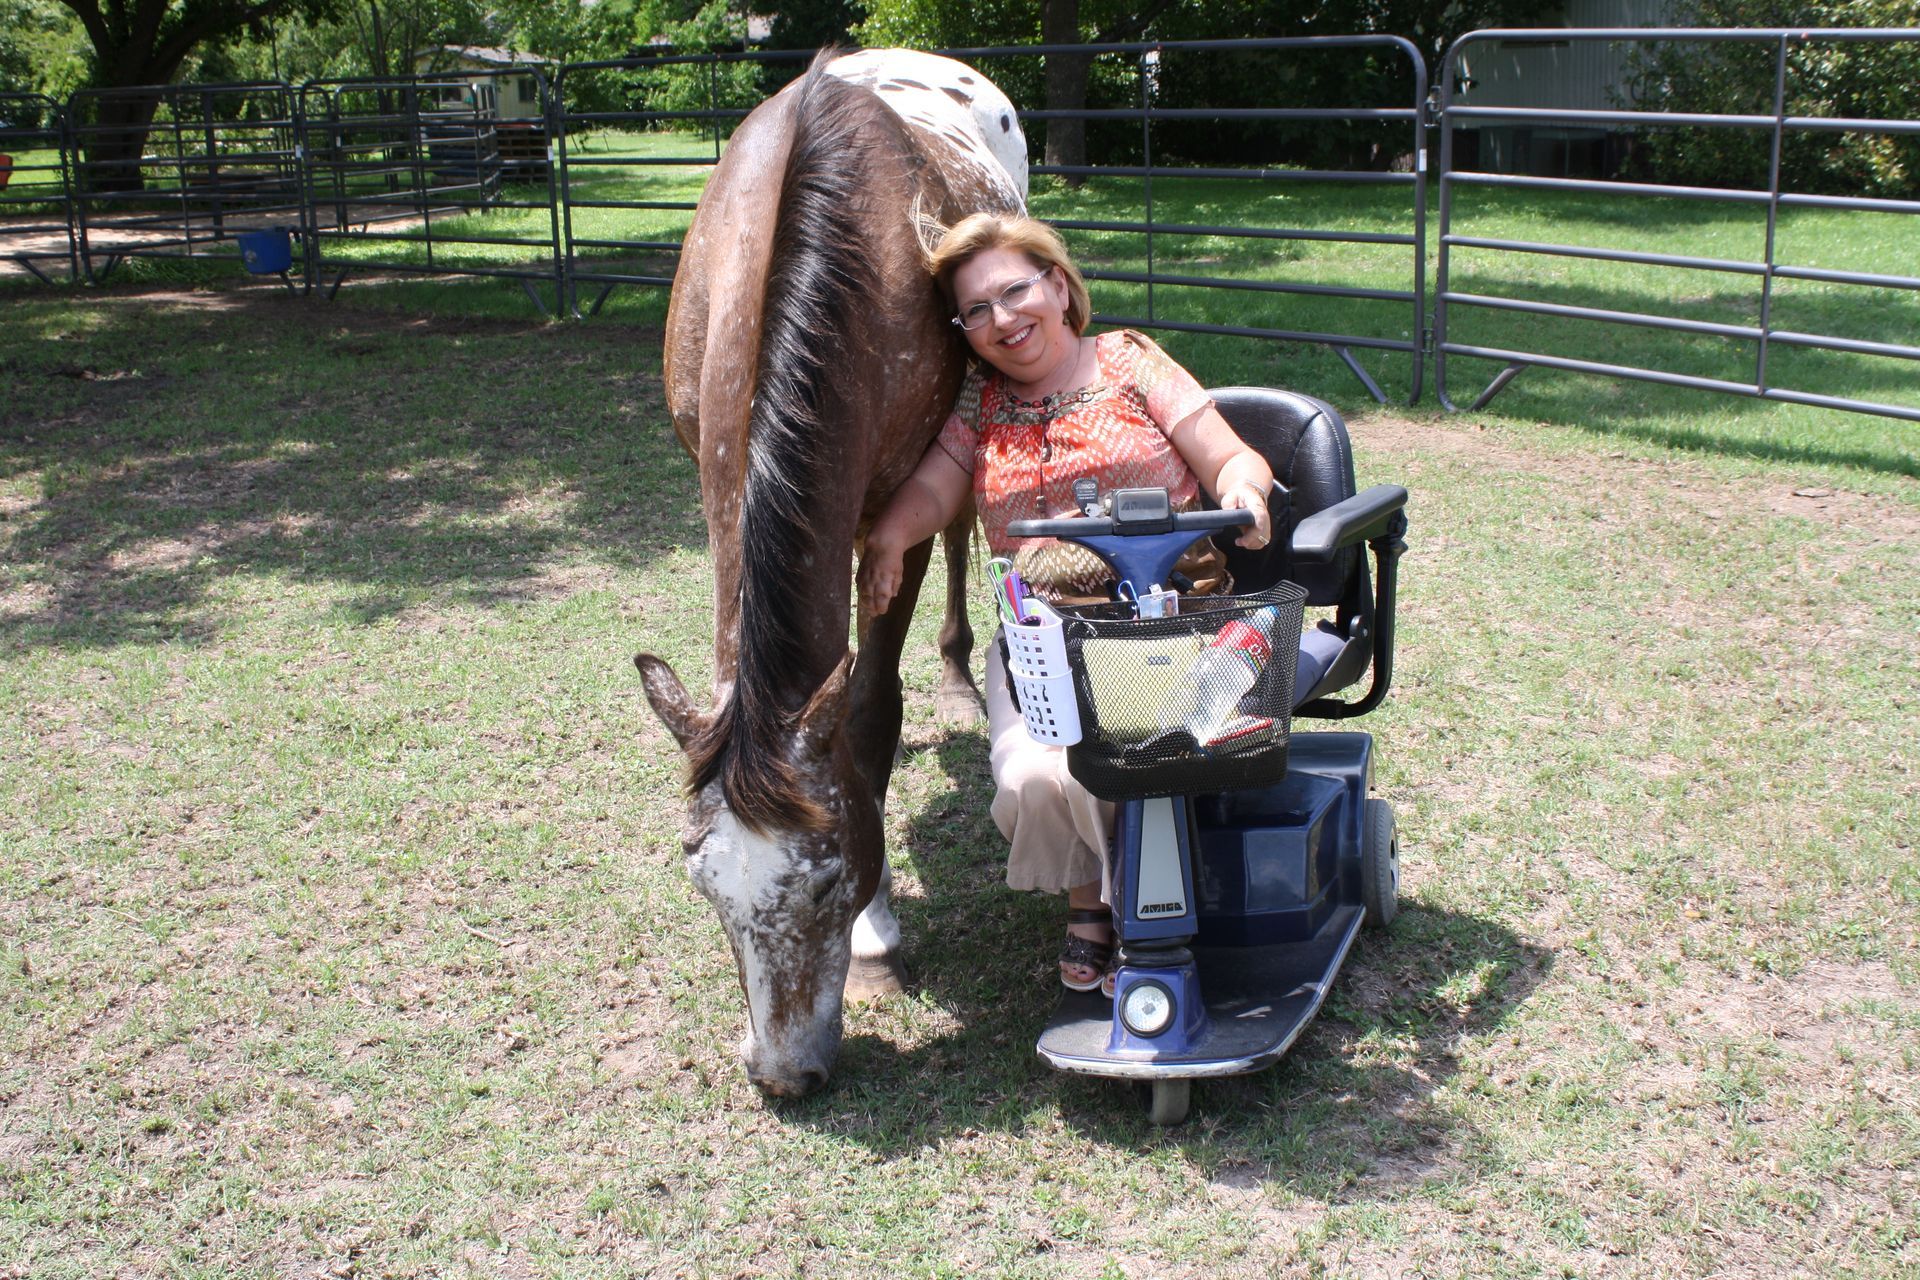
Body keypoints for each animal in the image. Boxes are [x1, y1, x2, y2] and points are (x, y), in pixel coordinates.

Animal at [634, 49, 1027, 1098]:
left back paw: (962, 673)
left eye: (827, 879)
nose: (784, 1074)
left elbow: (871, 711)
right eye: (702, 883)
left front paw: (882, 940)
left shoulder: (897, 509)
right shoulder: (712, 482)